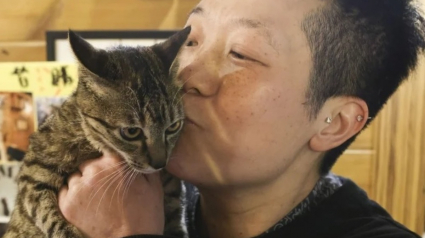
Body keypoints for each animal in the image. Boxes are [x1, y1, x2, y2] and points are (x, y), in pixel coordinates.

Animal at [3, 26, 190, 238]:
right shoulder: (33, 174)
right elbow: (49, 217)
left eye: (173, 126)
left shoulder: (175, 201)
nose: (160, 164)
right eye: (131, 132)